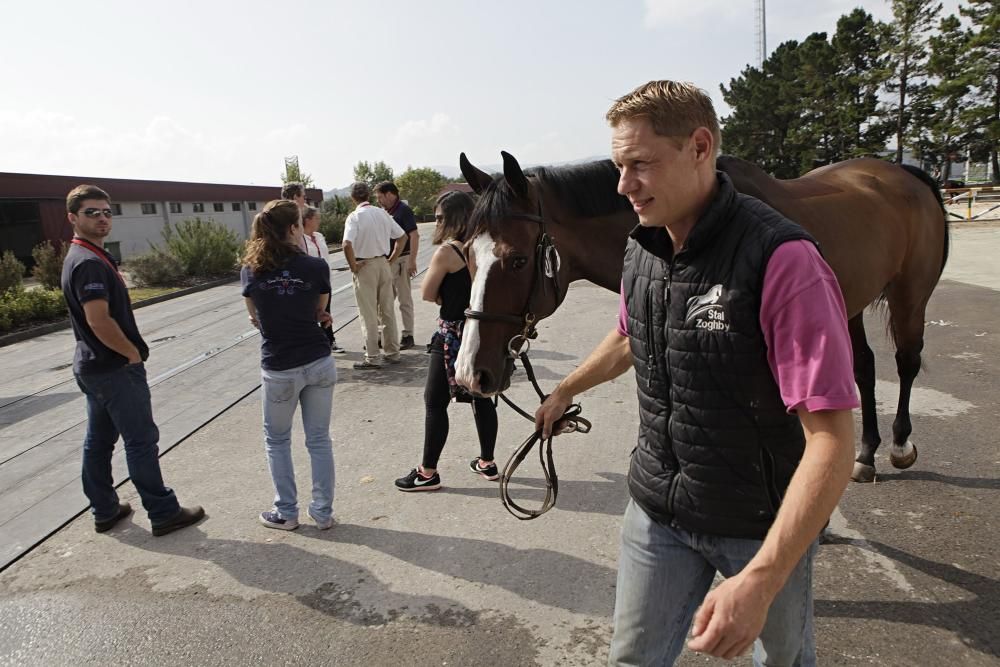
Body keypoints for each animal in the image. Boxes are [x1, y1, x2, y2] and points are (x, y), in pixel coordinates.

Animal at [458, 152, 948, 482]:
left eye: (518, 260)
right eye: (466, 255)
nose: (468, 373)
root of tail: (903, 172)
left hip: (910, 293)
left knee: (906, 361)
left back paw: (899, 445)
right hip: (849, 304)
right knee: (864, 368)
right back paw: (864, 456)